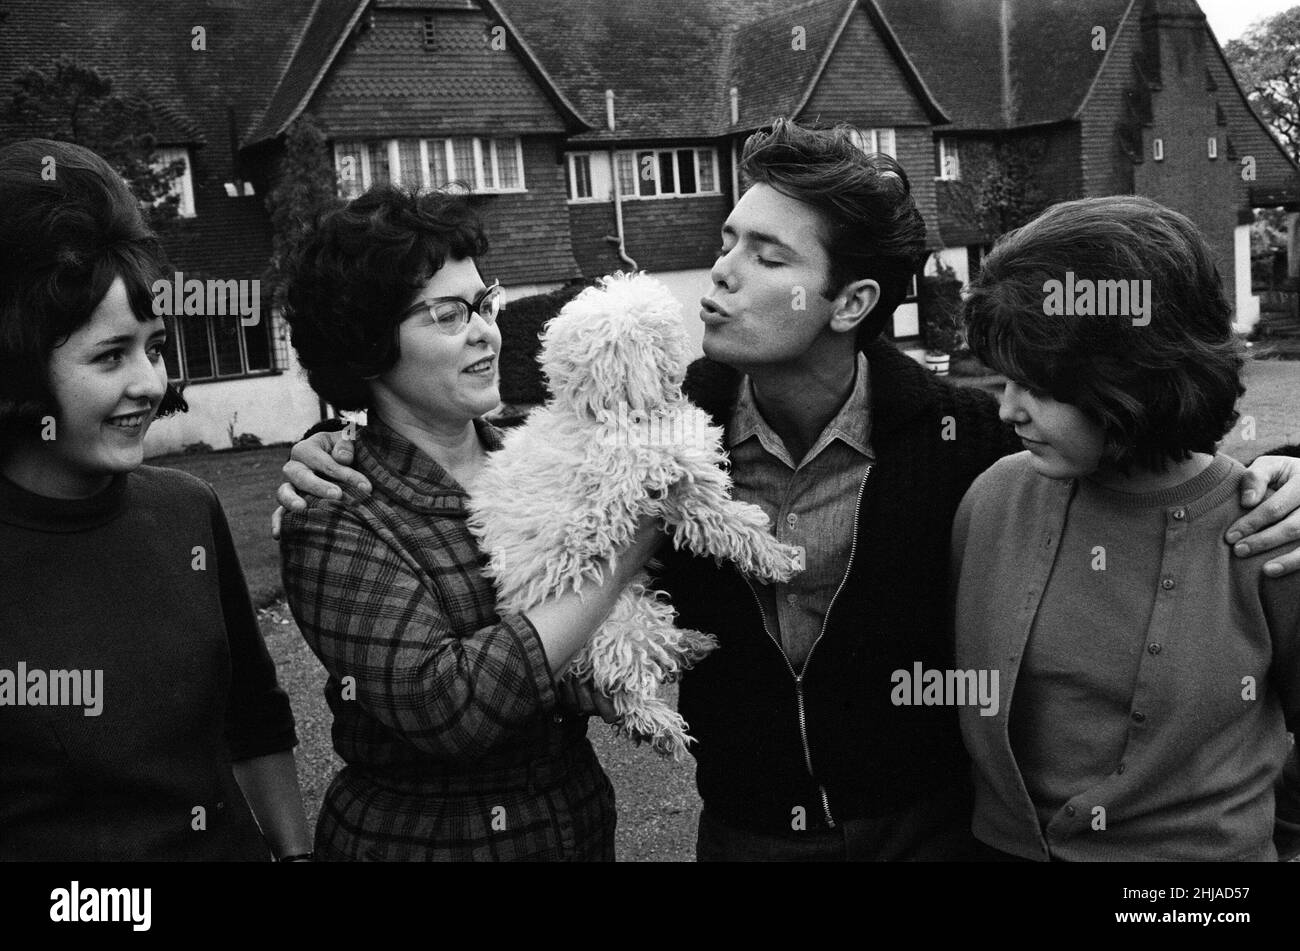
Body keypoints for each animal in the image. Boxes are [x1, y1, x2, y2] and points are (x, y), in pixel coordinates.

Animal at [467, 272, 800, 758]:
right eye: (661, 338)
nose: (686, 361)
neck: (604, 414)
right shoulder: (669, 488)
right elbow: (731, 523)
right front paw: (780, 559)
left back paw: (692, 643)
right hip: (619, 628)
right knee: (624, 693)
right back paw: (664, 728)